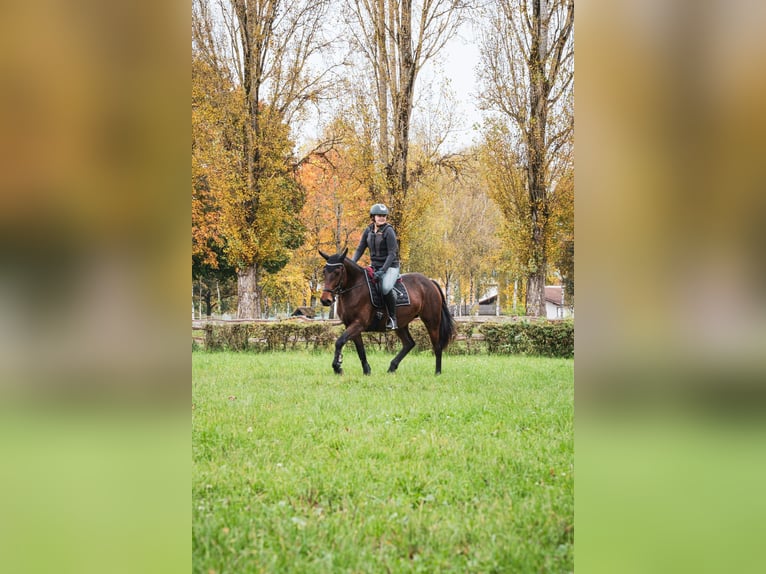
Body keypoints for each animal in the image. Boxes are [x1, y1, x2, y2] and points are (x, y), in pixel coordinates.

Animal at [319, 247, 456, 375]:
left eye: (337, 272)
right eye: (324, 271)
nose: (326, 300)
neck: (354, 288)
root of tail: (430, 282)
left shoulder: (359, 324)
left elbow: (339, 342)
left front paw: (337, 367)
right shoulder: (351, 325)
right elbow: (360, 349)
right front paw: (366, 370)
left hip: (431, 321)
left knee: (437, 346)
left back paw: (437, 372)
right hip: (401, 324)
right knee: (409, 343)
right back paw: (392, 367)